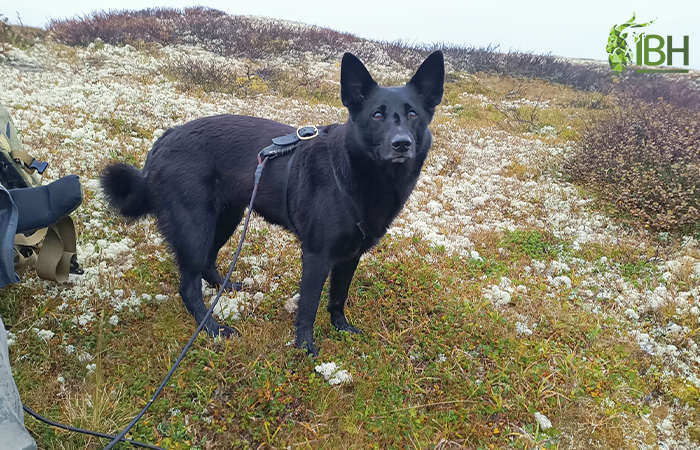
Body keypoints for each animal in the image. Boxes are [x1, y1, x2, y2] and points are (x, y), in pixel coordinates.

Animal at [100, 51, 442, 356]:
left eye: (413, 114)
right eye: (376, 115)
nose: (401, 144)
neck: (360, 173)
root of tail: (164, 139)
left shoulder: (351, 255)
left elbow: (338, 297)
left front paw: (341, 328)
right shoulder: (317, 255)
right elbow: (309, 305)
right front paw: (304, 347)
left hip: (227, 217)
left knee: (209, 262)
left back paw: (225, 287)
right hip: (196, 227)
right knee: (188, 285)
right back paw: (212, 328)